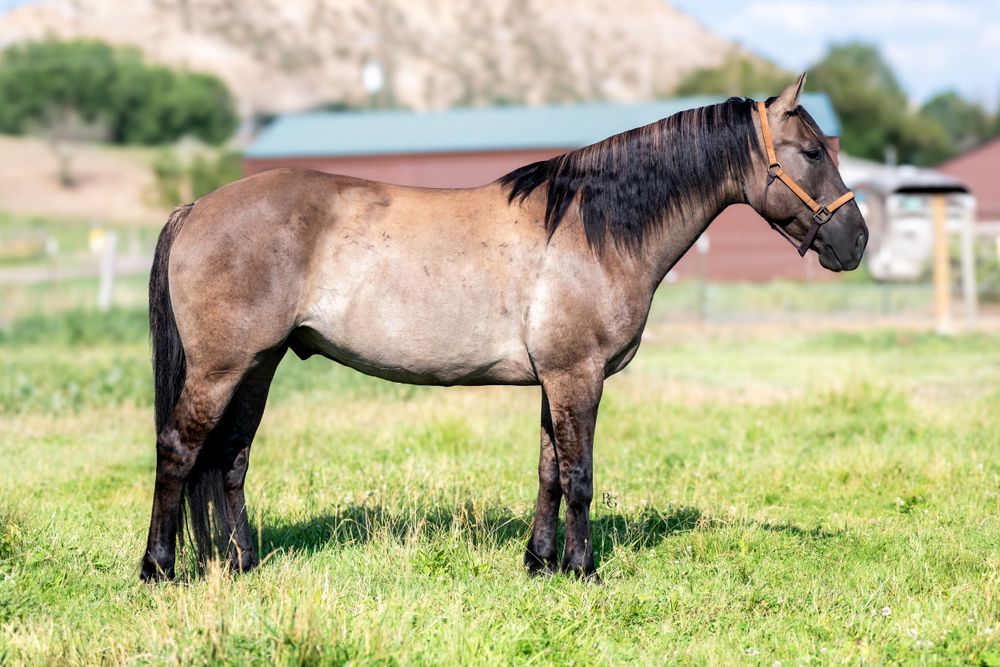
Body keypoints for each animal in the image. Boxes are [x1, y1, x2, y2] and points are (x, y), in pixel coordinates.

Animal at [140, 74, 867, 581]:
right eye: (810, 151)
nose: (856, 241)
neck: (590, 229)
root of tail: (194, 207)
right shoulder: (578, 376)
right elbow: (580, 475)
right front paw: (583, 569)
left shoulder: (556, 379)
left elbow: (550, 471)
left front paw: (540, 562)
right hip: (221, 367)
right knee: (179, 450)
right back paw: (158, 567)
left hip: (258, 365)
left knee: (230, 461)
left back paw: (242, 561)